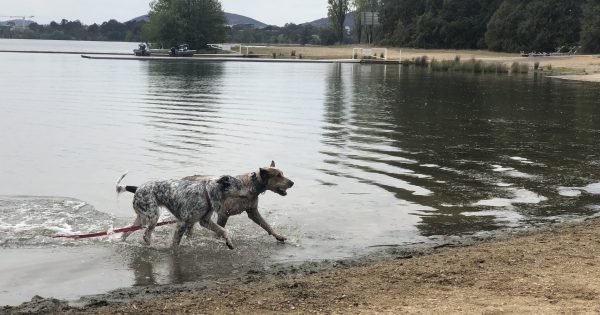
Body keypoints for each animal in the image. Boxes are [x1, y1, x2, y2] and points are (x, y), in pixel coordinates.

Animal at [117, 175, 248, 249]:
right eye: (240, 185)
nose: (251, 191)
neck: (207, 193)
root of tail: (137, 188)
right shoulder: (183, 223)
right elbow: (175, 244)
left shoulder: (203, 221)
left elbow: (223, 230)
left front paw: (229, 243)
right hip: (153, 218)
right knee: (145, 235)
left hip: (142, 219)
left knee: (126, 232)